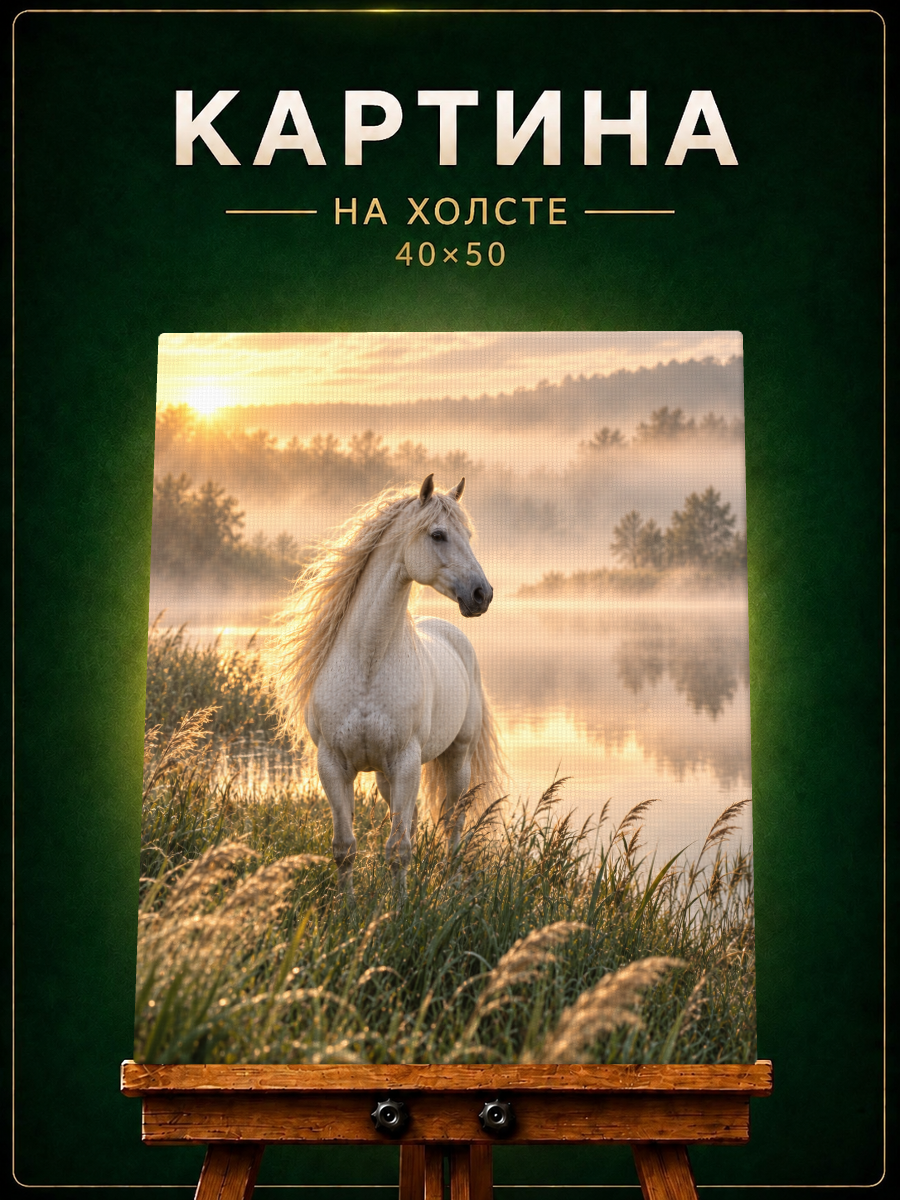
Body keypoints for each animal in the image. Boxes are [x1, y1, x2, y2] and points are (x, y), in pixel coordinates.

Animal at [271, 474, 503, 896]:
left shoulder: (406, 760)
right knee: (412, 817)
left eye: (469, 535)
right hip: (385, 776)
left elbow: (399, 850)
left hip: (457, 758)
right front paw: (348, 908)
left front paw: (400, 908)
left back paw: (451, 884)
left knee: (453, 821)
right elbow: (345, 847)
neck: (368, 661)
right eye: (438, 534)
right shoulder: (333, 765)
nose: (482, 594)